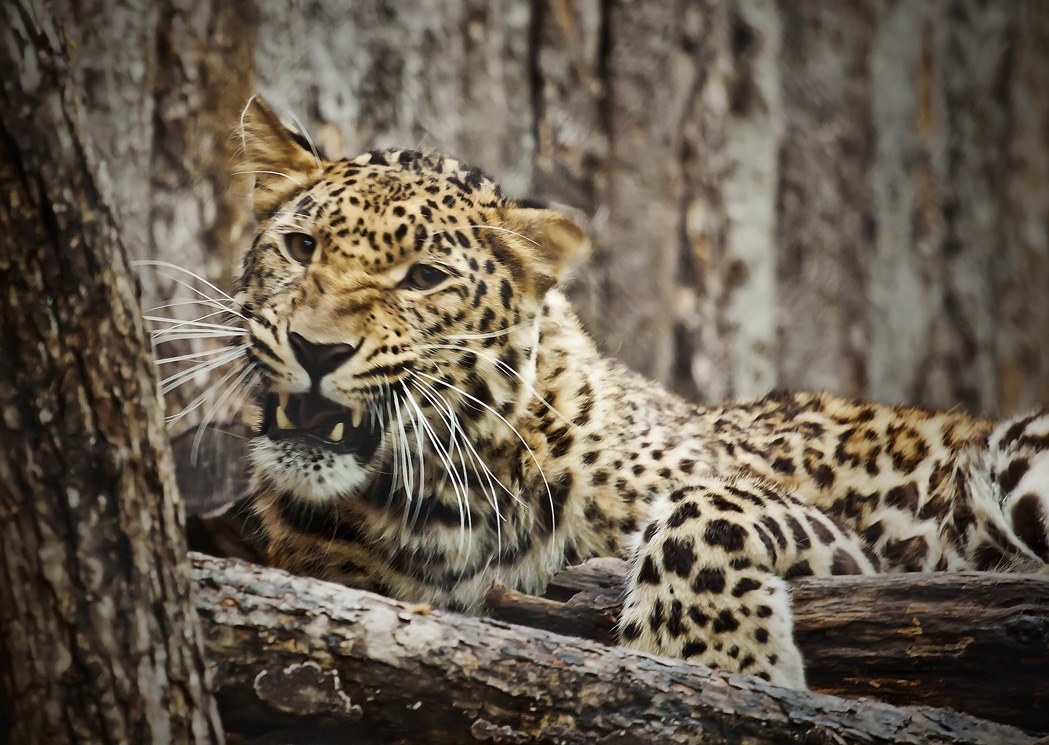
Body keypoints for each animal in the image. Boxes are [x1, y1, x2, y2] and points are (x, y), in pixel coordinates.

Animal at [229, 97, 1049, 688]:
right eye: (300, 247)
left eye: (423, 278)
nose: (316, 348)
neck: (431, 502)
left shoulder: (852, 548)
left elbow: (702, 508)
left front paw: (716, 658)